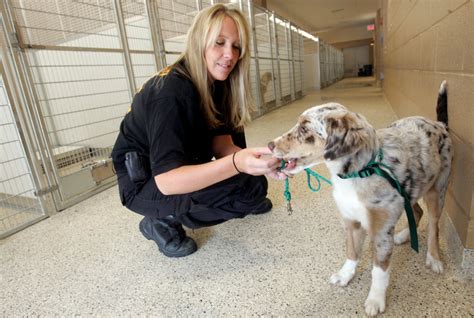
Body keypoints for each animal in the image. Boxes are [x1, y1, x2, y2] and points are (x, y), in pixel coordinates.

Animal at [268, 80, 450, 314]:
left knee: (434, 226)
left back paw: (433, 258)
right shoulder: (351, 220)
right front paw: (345, 275)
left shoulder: (381, 231)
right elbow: (352, 252)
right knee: (416, 211)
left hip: (437, 191)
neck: (360, 172)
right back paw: (403, 236)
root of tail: (439, 124)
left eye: (304, 128)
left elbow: (379, 270)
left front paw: (375, 300)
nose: (270, 145)